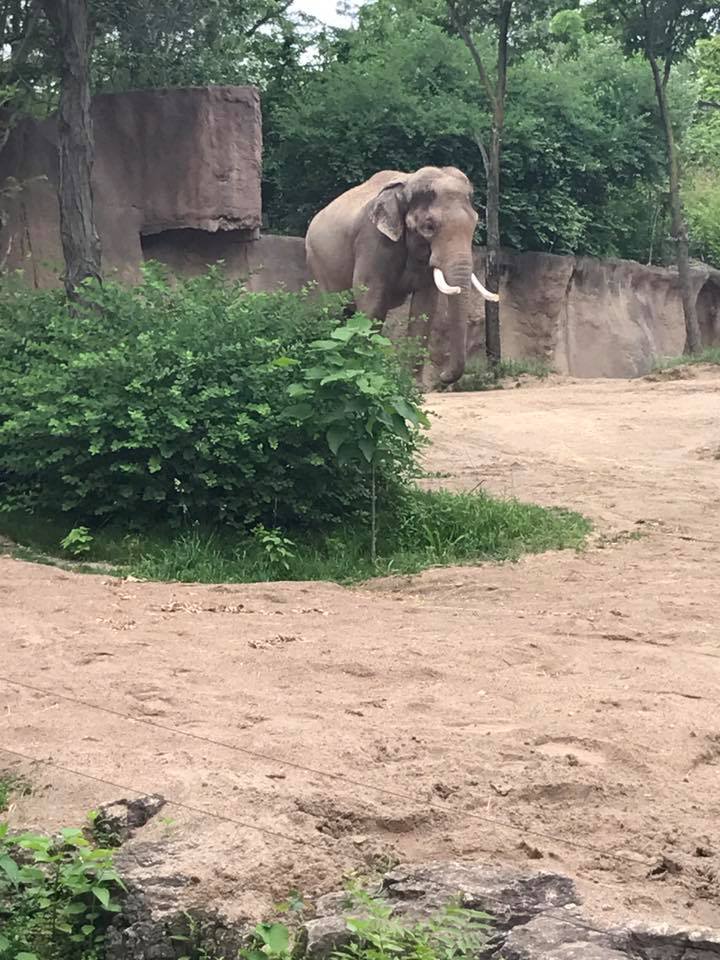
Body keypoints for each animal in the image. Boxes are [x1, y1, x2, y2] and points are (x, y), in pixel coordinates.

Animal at [305, 165, 498, 385]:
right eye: (429, 227)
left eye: (474, 225)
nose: (442, 376)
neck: (407, 184)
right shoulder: (372, 239)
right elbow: (371, 300)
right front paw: (370, 373)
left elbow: (425, 307)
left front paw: (414, 386)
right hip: (317, 262)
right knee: (334, 310)